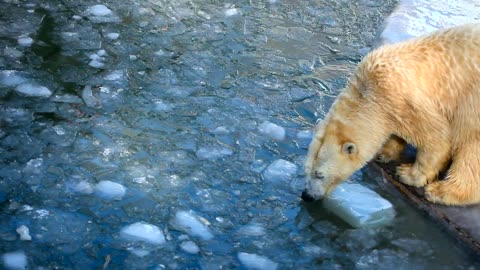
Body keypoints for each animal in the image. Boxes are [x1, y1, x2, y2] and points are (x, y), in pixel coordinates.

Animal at [302, 23, 480, 206]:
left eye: (319, 174)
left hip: (472, 102)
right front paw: (384, 152)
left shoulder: (407, 100)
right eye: (306, 169)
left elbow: (437, 139)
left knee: (471, 146)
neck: (371, 92)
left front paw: (408, 174)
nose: (306, 195)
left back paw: (443, 191)